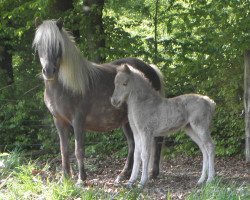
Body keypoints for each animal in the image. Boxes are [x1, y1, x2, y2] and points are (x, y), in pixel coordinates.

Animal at [32, 19, 164, 184]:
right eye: (39, 45)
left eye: (58, 45)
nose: (48, 71)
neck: (66, 85)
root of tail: (150, 69)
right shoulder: (59, 121)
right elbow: (64, 150)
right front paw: (65, 178)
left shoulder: (78, 121)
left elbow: (79, 150)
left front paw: (81, 179)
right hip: (127, 121)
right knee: (133, 144)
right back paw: (124, 174)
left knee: (157, 140)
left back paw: (153, 172)